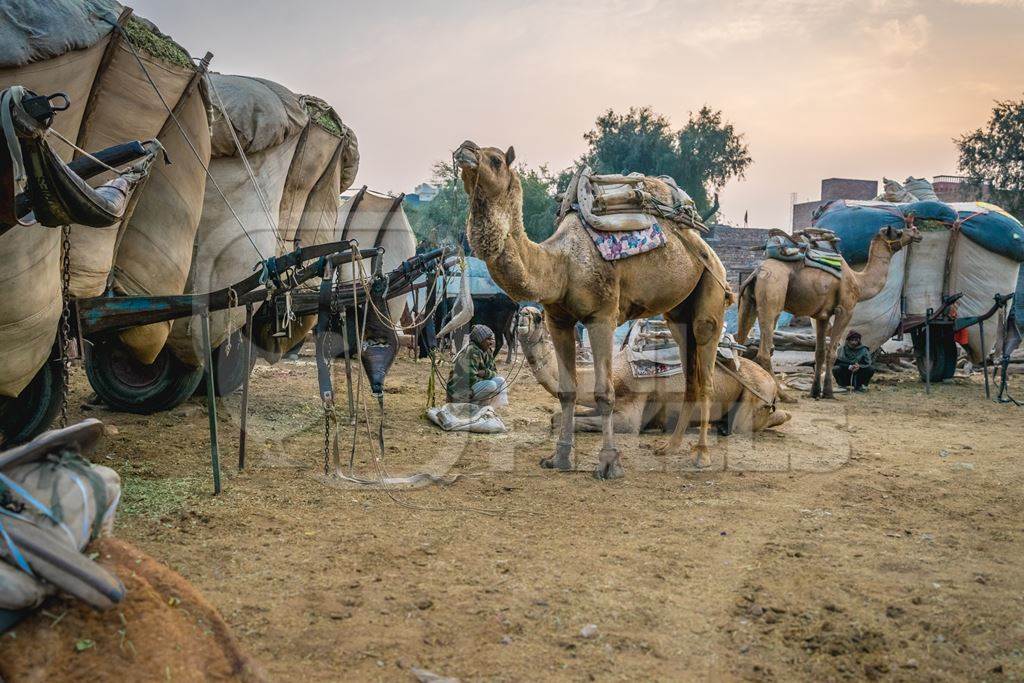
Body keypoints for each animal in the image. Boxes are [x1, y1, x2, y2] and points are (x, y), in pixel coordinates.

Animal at [454, 141, 729, 479]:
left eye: (494, 159)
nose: (465, 149)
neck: (561, 264)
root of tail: (702, 242)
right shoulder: (558, 320)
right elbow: (567, 391)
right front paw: (559, 458)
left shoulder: (602, 318)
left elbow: (604, 393)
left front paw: (610, 464)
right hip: (678, 314)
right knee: (690, 370)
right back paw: (670, 447)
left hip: (711, 290)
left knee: (707, 370)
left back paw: (701, 455)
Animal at [520, 307, 790, 436]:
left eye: (538, 317)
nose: (522, 315)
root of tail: (772, 383)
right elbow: (557, 417)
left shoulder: (631, 410)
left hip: (754, 395)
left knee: (747, 425)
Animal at [737, 227, 921, 401]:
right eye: (898, 232)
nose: (916, 232)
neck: (858, 281)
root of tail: (757, 272)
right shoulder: (845, 310)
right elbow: (832, 353)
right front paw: (828, 392)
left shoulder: (822, 316)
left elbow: (819, 353)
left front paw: (815, 392)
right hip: (772, 294)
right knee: (764, 352)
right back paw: (785, 397)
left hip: (748, 302)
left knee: (740, 343)